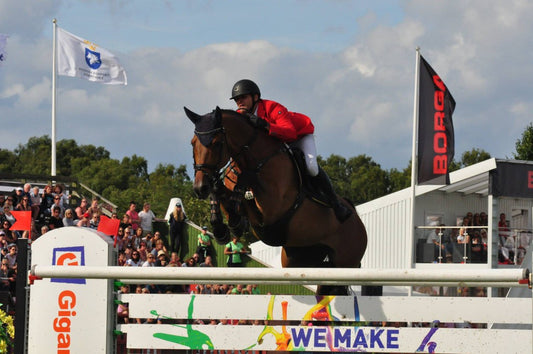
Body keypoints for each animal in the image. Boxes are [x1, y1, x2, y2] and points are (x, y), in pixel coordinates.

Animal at [184, 106, 366, 294]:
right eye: (193, 143)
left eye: (217, 143)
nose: (199, 188)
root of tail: (357, 218)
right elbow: (221, 194)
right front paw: (223, 228)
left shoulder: (271, 210)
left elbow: (242, 188)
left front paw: (233, 221)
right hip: (299, 258)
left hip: (345, 261)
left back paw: (341, 211)